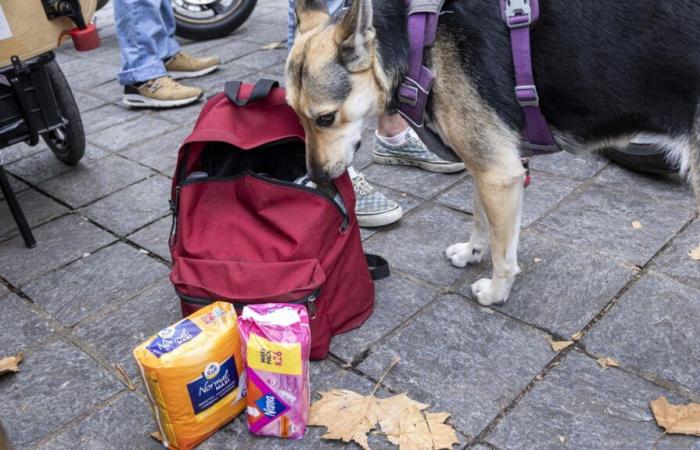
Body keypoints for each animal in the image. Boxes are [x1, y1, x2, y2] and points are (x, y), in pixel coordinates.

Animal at [284, 0, 700, 306]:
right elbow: (482, 221)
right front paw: (472, 252)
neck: (418, 40)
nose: (317, 179)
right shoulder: (489, 169)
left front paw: (497, 292)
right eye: (295, 114)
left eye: (325, 118)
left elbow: (503, 253)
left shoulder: (498, 174)